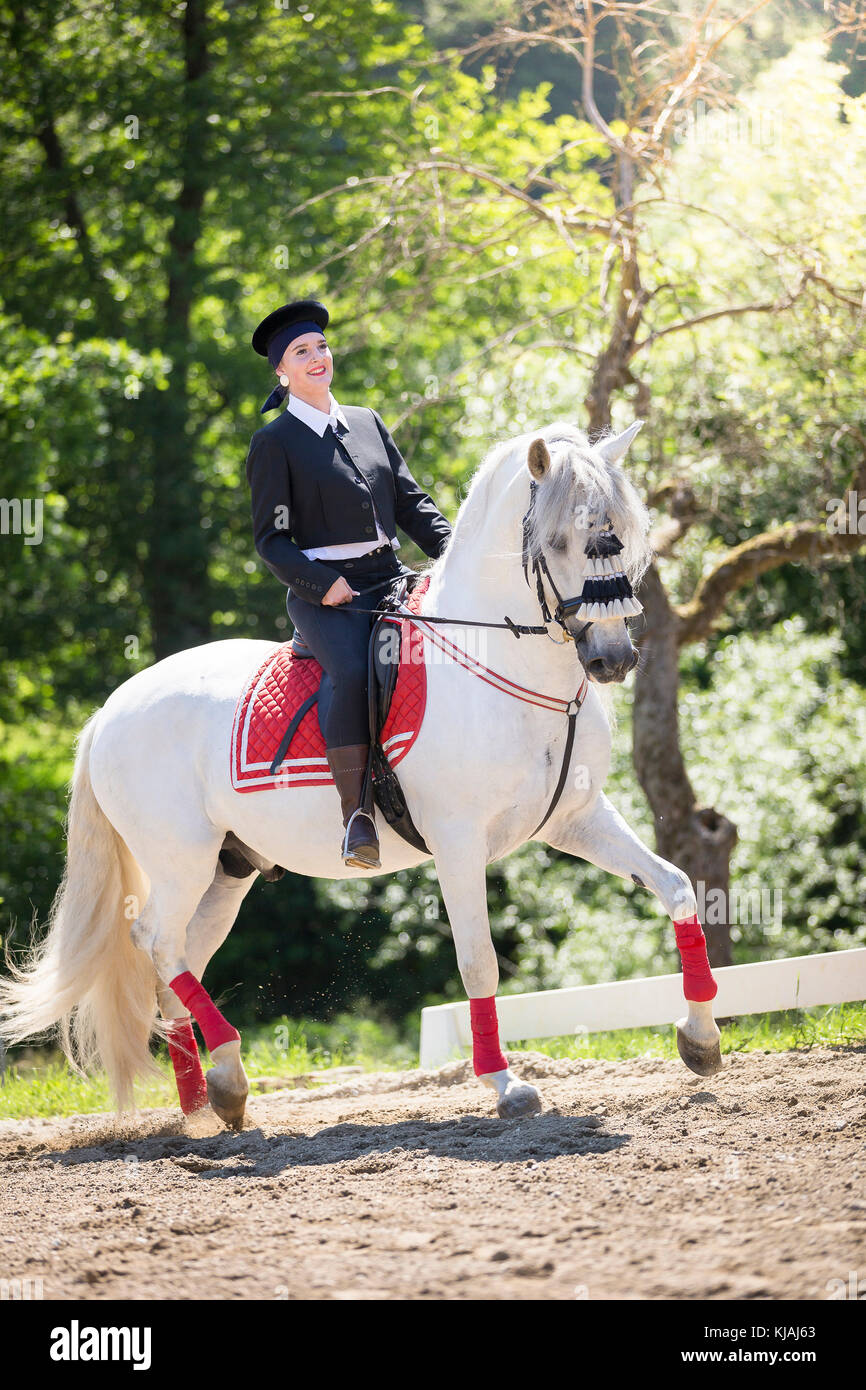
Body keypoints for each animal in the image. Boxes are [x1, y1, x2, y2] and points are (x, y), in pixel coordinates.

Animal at [0, 418, 721, 1130]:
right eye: (561, 541)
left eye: (622, 535)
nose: (613, 658)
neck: (509, 669)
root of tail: (109, 711)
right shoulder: (459, 843)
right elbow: (478, 961)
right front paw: (506, 1086)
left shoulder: (577, 819)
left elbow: (677, 888)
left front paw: (701, 1040)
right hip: (180, 858)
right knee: (157, 942)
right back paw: (221, 1080)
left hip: (228, 869)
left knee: (179, 957)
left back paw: (210, 1100)